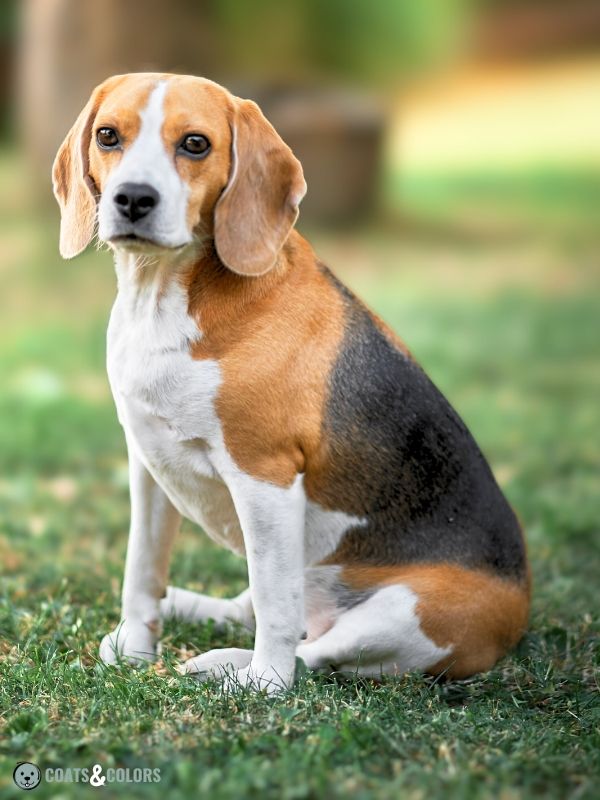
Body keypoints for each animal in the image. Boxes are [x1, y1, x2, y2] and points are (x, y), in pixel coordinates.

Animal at [51, 72, 528, 692]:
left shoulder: (265, 479)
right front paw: (134, 646)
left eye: (195, 144)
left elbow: (276, 608)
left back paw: (231, 669)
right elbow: (141, 568)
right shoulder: (149, 463)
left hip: (410, 612)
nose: (133, 198)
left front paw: (265, 686)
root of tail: (521, 609)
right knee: (259, 609)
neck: (163, 295)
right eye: (108, 135)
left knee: (312, 647)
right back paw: (188, 608)